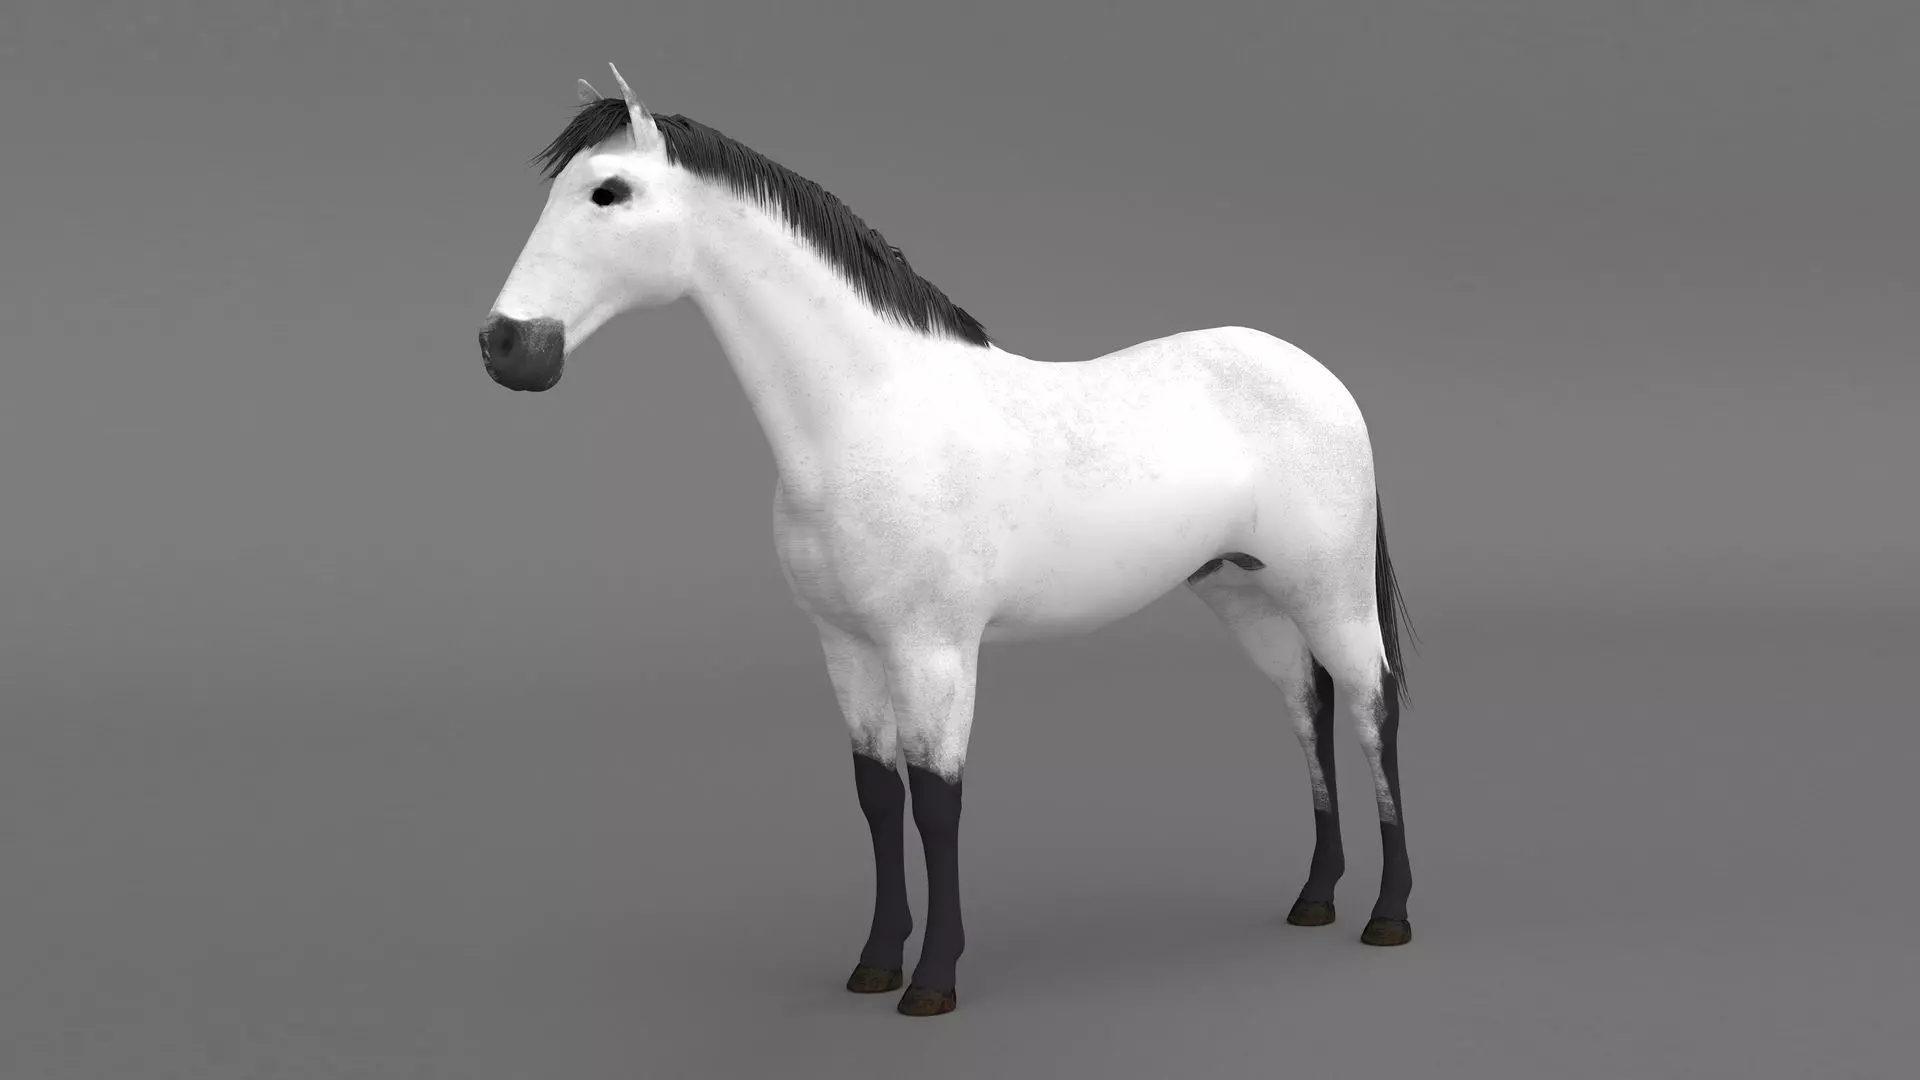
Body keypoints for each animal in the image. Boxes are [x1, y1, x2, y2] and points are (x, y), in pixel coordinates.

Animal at [479, 65, 1418, 1018]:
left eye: (608, 191)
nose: (507, 345)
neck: (866, 416)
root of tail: (1315, 373)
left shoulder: (933, 649)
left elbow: (936, 800)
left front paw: (932, 980)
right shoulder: (846, 647)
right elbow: (877, 797)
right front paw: (874, 963)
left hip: (1330, 593)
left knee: (1372, 710)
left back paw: (1388, 916)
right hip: (1246, 595)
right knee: (1307, 710)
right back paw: (1313, 898)